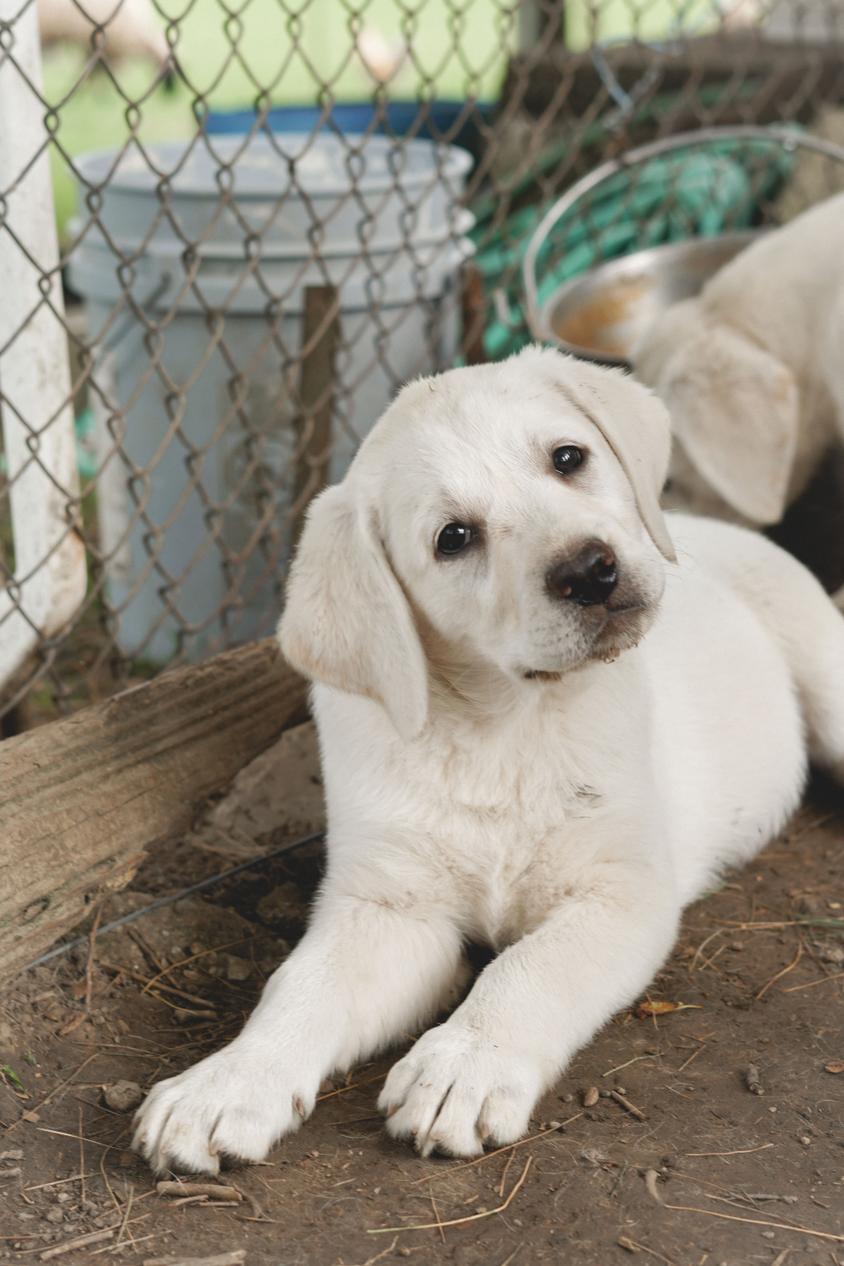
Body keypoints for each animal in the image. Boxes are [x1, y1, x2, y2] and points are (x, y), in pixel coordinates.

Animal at [132, 349, 844, 1174]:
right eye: (453, 538)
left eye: (568, 458)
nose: (590, 570)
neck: (505, 726)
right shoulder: (390, 908)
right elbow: (297, 987)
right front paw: (227, 1082)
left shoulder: (621, 891)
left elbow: (529, 968)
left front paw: (464, 1065)